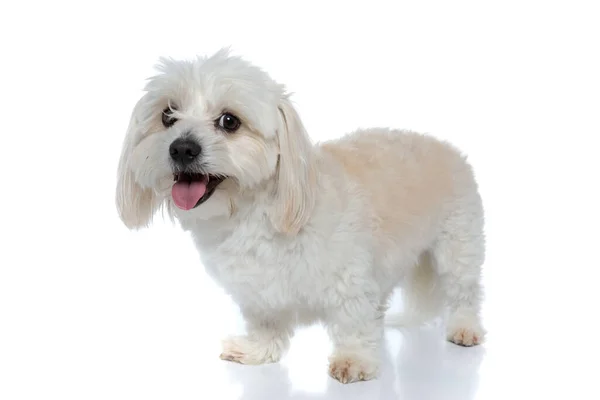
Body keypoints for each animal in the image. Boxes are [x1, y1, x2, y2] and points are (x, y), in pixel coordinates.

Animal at [115, 48, 486, 382]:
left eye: (229, 121)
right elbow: (266, 323)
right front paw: (258, 350)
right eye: (167, 115)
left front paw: (354, 359)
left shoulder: (349, 278)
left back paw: (465, 328)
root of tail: (449, 148)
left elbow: (352, 319)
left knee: (464, 291)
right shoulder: (258, 292)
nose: (181, 148)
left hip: (458, 247)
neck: (254, 213)